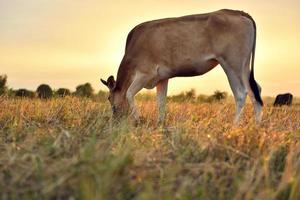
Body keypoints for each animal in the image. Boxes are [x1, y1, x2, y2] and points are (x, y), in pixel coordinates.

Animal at [101, 9, 262, 125]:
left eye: (109, 98)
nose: (114, 121)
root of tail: (238, 12)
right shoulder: (162, 78)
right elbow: (161, 102)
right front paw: (160, 124)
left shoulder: (145, 74)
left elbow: (128, 93)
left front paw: (138, 119)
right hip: (244, 66)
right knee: (255, 91)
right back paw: (257, 126)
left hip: (232, 64)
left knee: (241, 93)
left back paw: (235, 125)